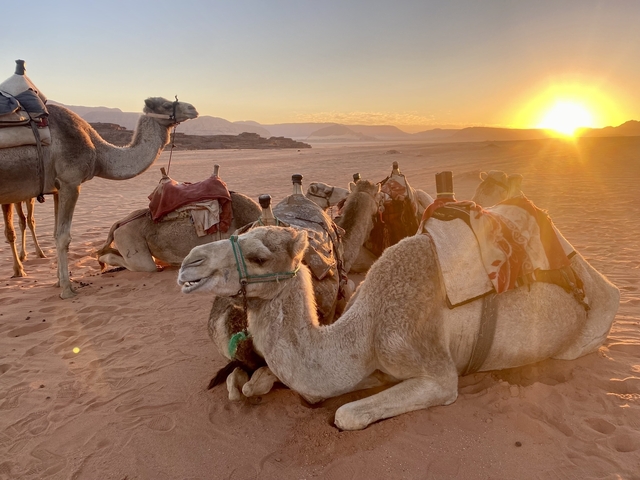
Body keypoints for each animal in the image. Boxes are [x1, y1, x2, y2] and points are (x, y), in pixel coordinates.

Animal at [0, 97, 198, 297]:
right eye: (165, 104)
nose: (192, 108)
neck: (98, 153)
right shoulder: (71, 181)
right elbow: (63, 237)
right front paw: (67, 289)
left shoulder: (57, 187)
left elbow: (56, 232)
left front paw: (58, 282)